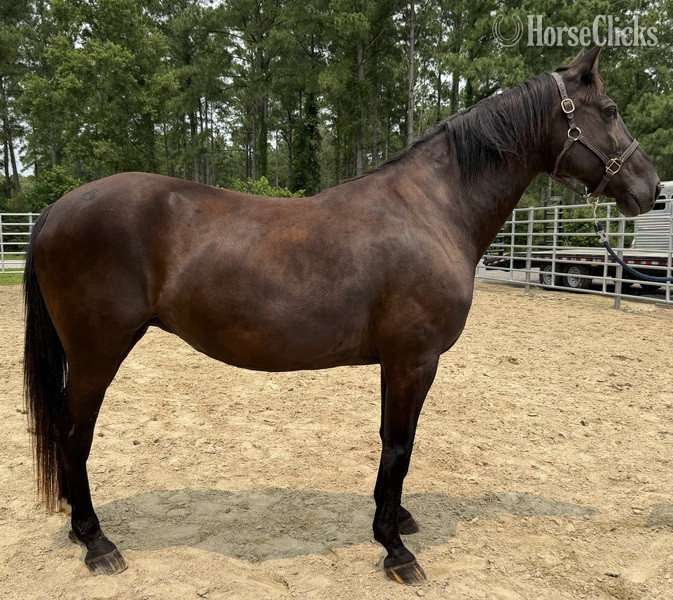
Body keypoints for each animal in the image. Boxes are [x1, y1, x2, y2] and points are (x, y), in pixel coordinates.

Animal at [23, 46, 660, 584]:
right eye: (610, 110)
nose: (650, 187)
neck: (433, 210)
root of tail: (55, 208)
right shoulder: (414, 360)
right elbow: (400, 445)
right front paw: (395, 551)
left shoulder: (396, 363)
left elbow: (392, 442)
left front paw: (396, 520)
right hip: (97, 354)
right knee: (74, 435)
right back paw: (97, 543)